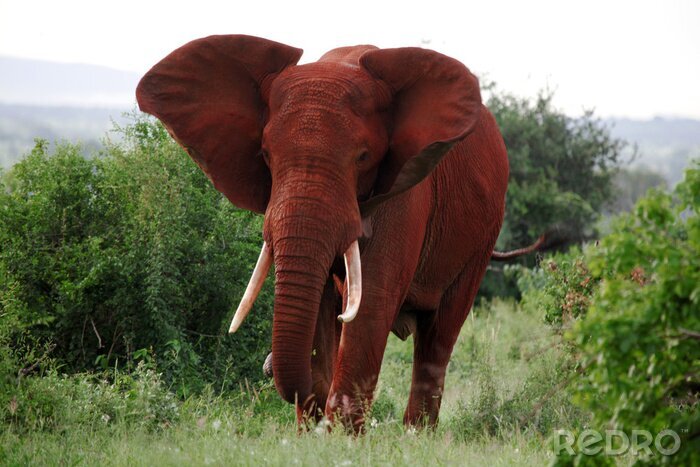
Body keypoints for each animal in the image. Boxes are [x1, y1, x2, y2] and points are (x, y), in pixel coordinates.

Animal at [136, 34, 529, 431]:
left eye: (363, 157)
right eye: (265, 154)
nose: (266, 367)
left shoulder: (406, 192)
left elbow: (372, 300)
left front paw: (338, 435)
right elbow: (324, 304)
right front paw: (310, 431)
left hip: (482, 240)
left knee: (438, 336)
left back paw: (416, 435)